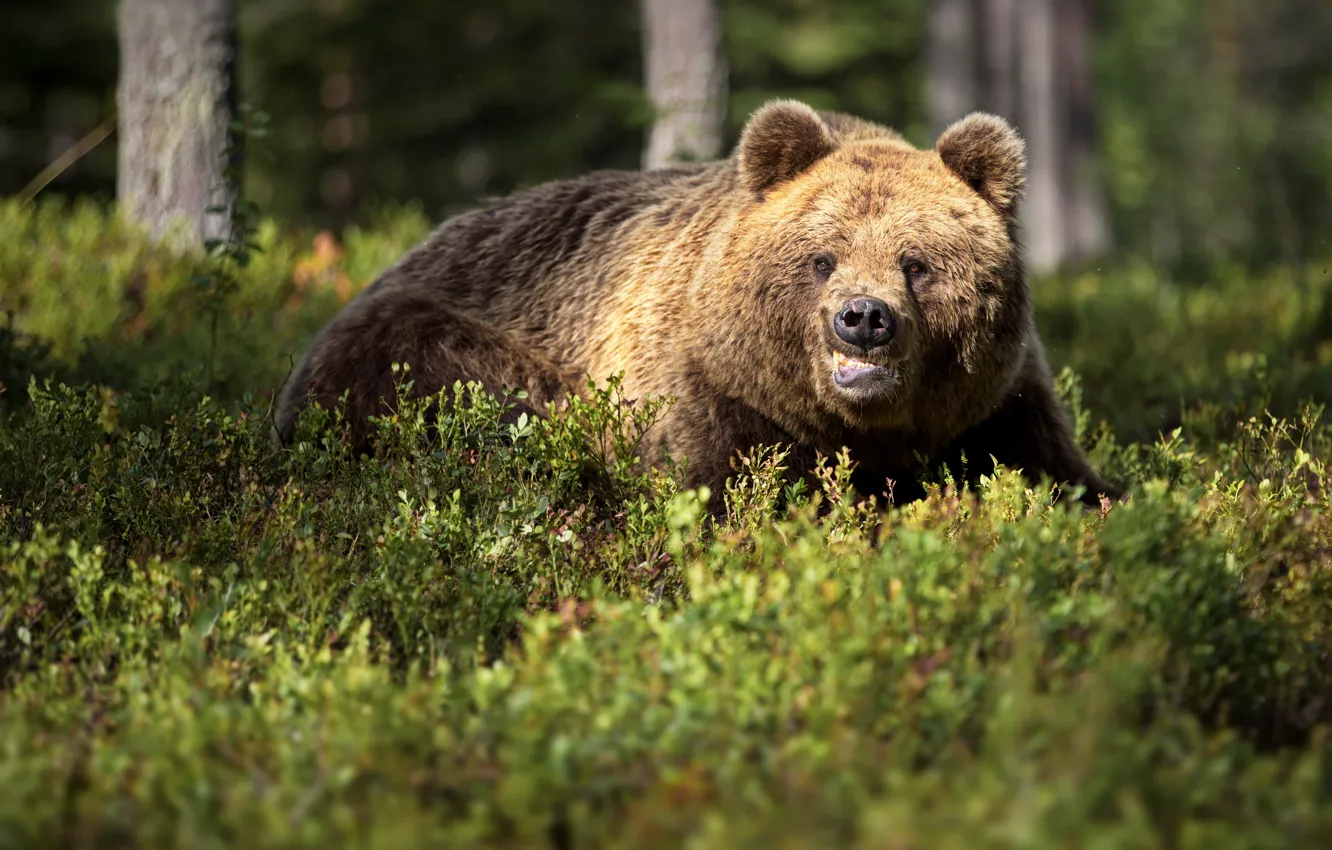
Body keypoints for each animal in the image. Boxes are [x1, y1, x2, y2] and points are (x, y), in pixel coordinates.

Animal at [275, 99, 1122, 509]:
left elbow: (1059, 472)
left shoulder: (996, 401)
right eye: (823, 257)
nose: (862, 318)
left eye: (916, 264)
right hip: (416, 345)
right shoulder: (707, 392)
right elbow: (714, 493)